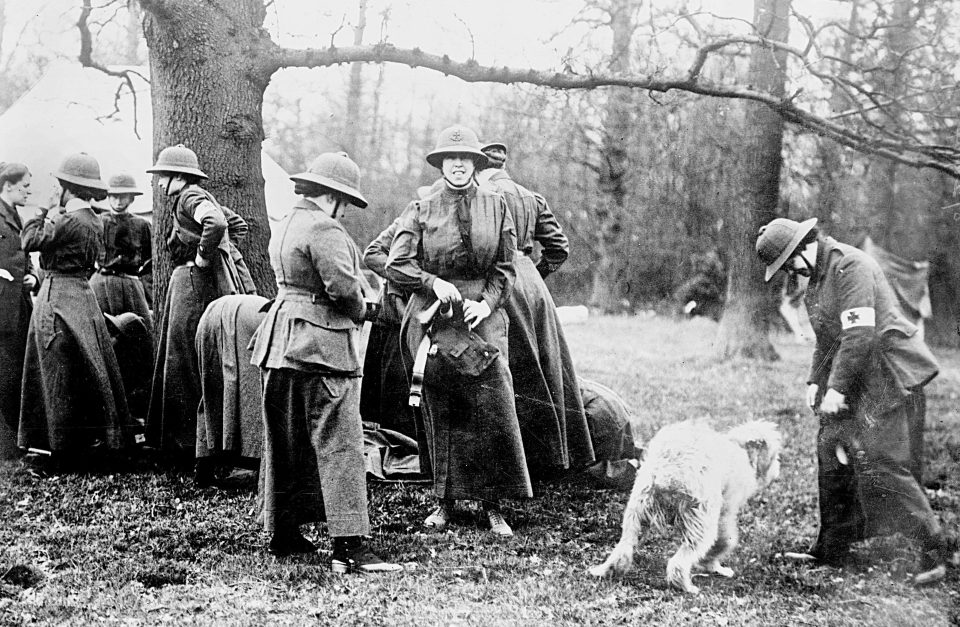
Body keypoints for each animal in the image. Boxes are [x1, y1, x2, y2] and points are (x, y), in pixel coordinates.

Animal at [588, 422, 784, 592]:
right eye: (774, 455)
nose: (778, 469)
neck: (740, 450)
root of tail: (667, 471)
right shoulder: (725, 513)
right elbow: (723, 542)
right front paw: (714, 566)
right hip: (699, 522)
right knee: (680, 561)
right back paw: (684, 586)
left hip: (635, 515)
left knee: (624, 548)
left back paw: (607, 571)